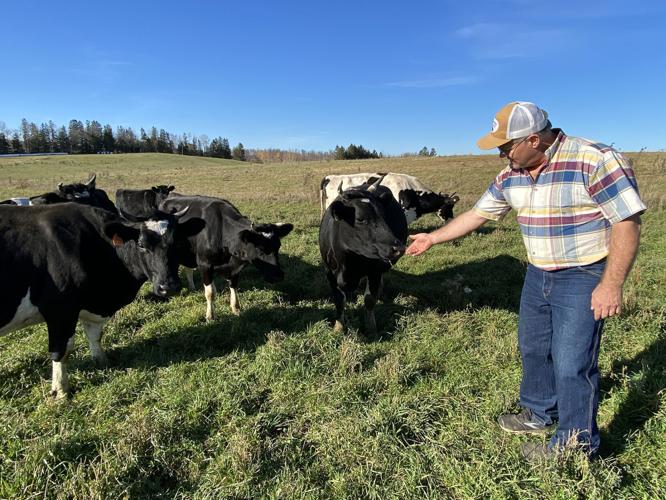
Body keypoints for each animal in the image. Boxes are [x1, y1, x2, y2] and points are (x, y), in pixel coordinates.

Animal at [0, 203, 204, 398]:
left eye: (177, 243)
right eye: (141, 244)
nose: (168, 287)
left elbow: (94, 335)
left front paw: (102, 362)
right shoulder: (61, 311)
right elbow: (61, 350)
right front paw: (60, 391)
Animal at [158, 195, 294, 320]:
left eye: (278, 246)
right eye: (260, 249)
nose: (278, 276)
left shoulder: (234, 268)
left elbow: (233, 286)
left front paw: (236, 308)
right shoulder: (204, 263)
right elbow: (210, 293)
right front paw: (210, 316)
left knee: (188, 269)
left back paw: (192, 288)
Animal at [316, 178, 404, 334]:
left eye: (384, 216)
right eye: (360, 219)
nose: (398, 248)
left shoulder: (375, 271)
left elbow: (369, 299)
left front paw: (371, 328)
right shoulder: (329, 272)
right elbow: (339, 299)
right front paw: (339, 327)